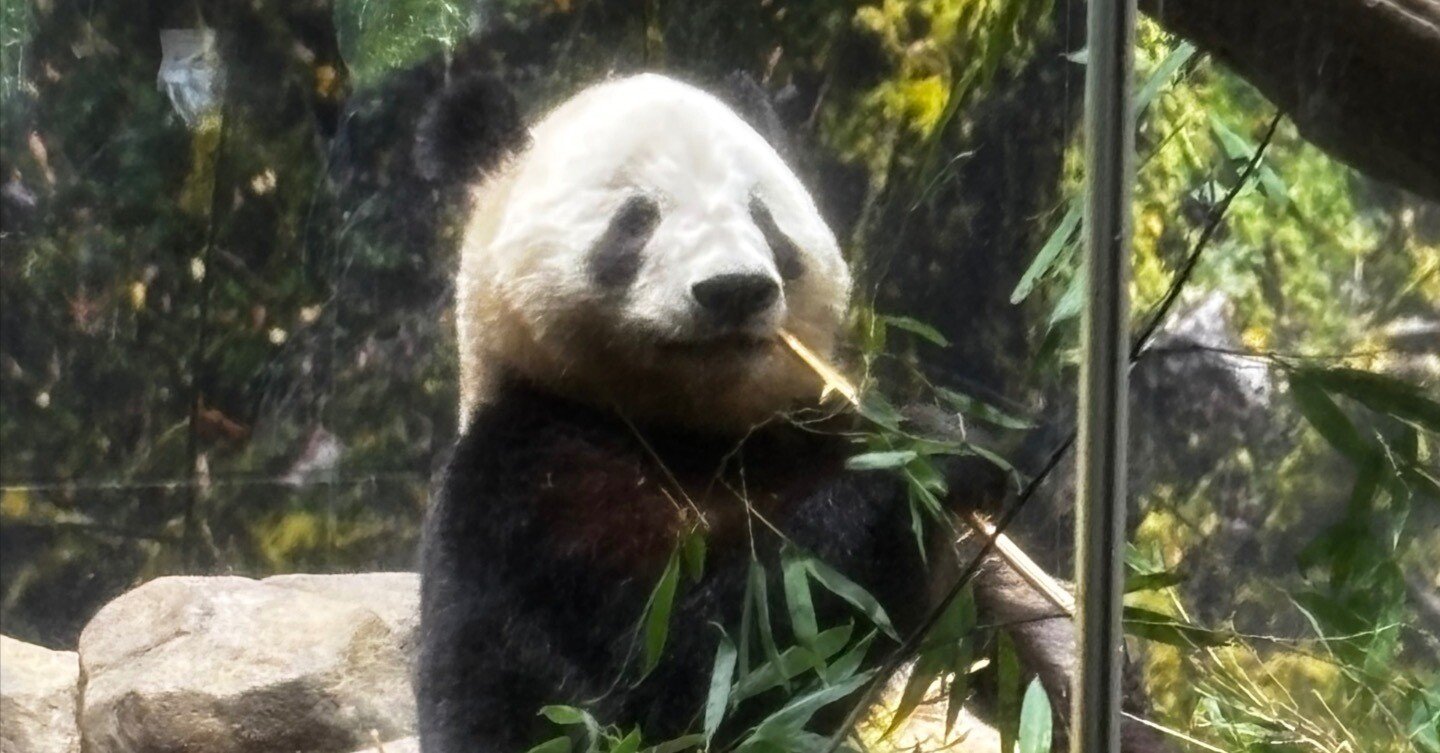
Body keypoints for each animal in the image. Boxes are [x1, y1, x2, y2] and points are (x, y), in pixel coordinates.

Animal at [414, 72, 1170, 753]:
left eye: (762, 217)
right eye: (637, 219)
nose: (734, 289)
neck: (695, 429)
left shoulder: (842, 453)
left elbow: (1032, 647)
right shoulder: (531, 488)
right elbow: (681, 682)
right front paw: (922, 466)